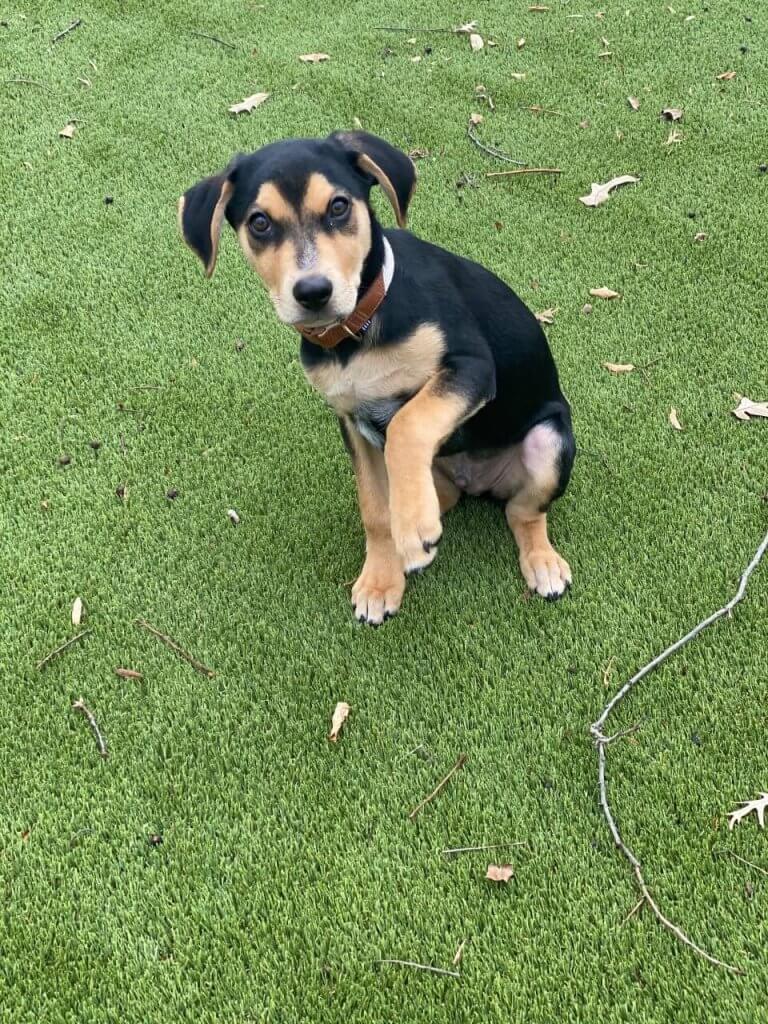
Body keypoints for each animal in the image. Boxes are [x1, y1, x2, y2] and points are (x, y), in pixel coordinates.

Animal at [180, 133, 573, 626]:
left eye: (339, 206)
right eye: (259, 223)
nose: (313, 293)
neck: (357, 333)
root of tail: (479, 483)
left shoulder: (473, 367)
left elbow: (409, 421)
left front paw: (412, 533)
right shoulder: (353, 421)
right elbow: (374, 508)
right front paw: (382, 580)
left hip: (549, 440)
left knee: (524, 512)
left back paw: (540, 562)